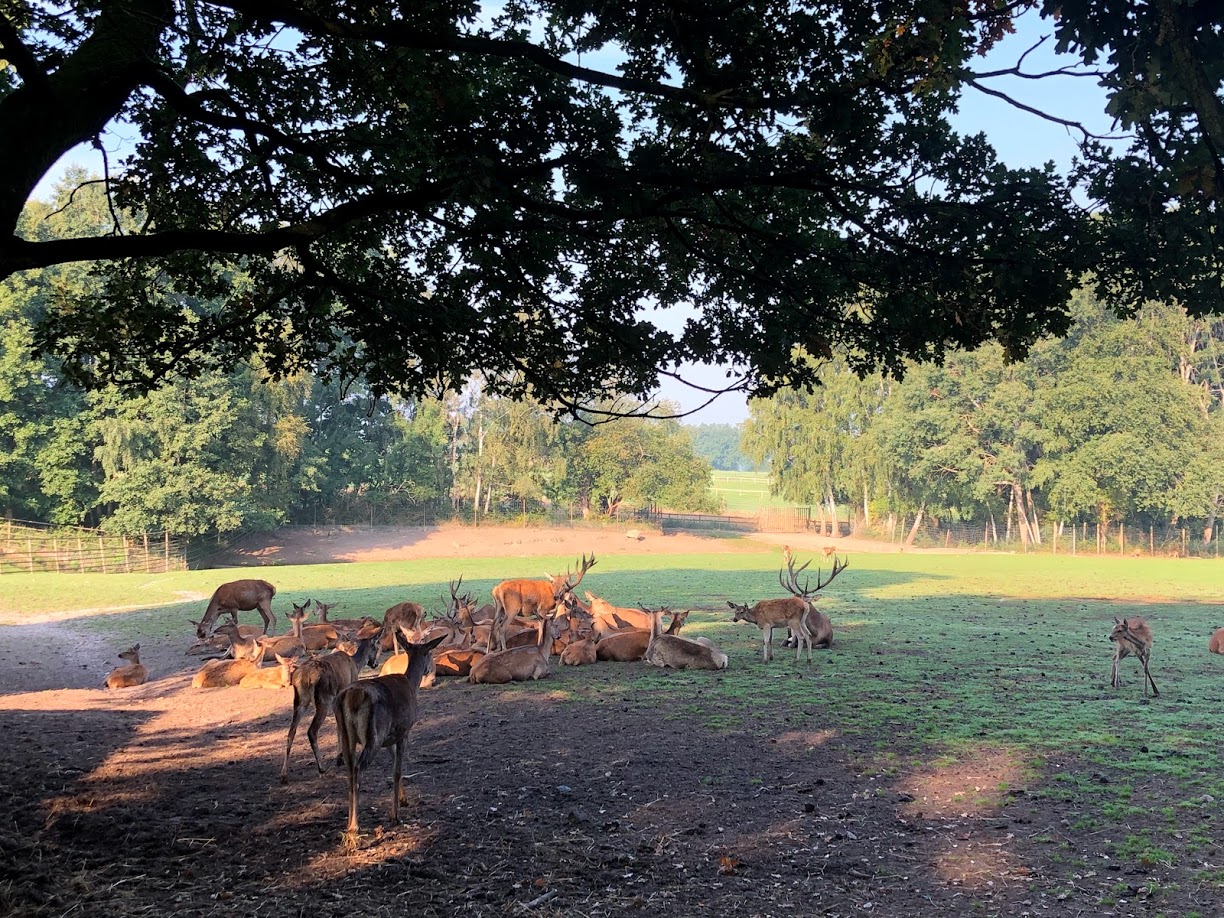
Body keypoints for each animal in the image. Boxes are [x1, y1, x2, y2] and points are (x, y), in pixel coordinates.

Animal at [280, 623, 382, 784]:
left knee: (291, 731)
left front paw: (339, 757)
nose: (375, 664)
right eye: (376, 647)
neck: (356, 664)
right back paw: (321, 769)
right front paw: (340, 757)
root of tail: (303, 676)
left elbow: (338, 725)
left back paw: (284, 775)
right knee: (311, 731)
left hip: (300, 700)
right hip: (323, 699)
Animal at [334, 634, 446, 836]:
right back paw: (354, 826)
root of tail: (350, 697)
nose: (429, 670)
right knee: (358, 769)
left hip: (346, 735)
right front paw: (396, 815)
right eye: (430, 653)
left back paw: (348, 824)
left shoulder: (389, 739)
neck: (411, 684)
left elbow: (394, 764)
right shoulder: (404, 731)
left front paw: (404, 799)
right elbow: (397, 770)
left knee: (349, 770)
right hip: (374, 735)